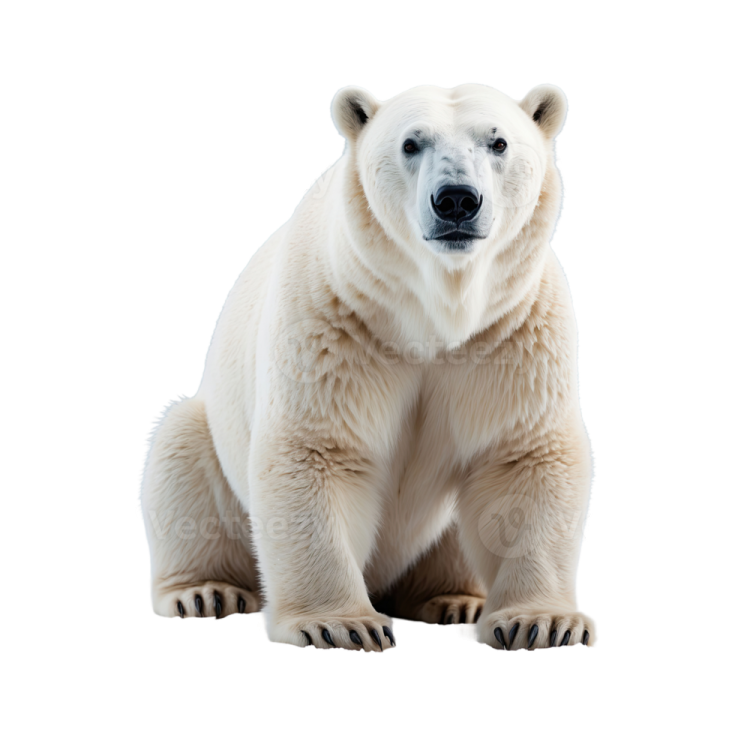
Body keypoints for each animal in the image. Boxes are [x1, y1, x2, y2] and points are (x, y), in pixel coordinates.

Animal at [139, 82, 598, 653]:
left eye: (498, 142)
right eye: (410, 144)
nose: (456, 200)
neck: (433, 317)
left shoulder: (511, 332)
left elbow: (523, 456)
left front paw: (543, 622)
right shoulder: (335, 320)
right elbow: (316, 450)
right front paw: (340, 624)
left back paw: (454, 600)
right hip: (213, 451)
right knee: (181, 454)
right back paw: (204, 591)